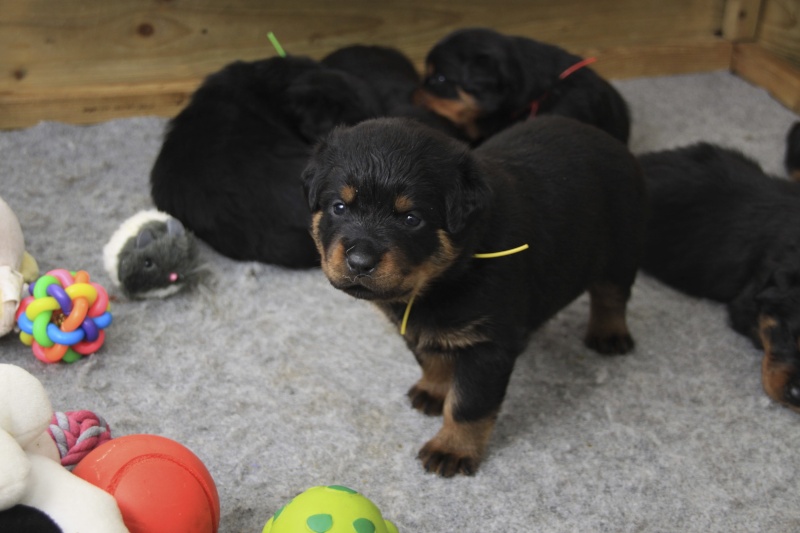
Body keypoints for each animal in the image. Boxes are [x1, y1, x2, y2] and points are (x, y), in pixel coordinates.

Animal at [304, 115, 648, 474]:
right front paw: (434, 390)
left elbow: (468, 403)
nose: (360, 261)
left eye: (412, 219)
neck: (446, 276)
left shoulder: (488, 345)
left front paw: (452, 448)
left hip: (623, 246)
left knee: (611, 295)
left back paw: (609, 334)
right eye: (339, 207)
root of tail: (607, 138)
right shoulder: (417, 326)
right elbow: (432, 357)